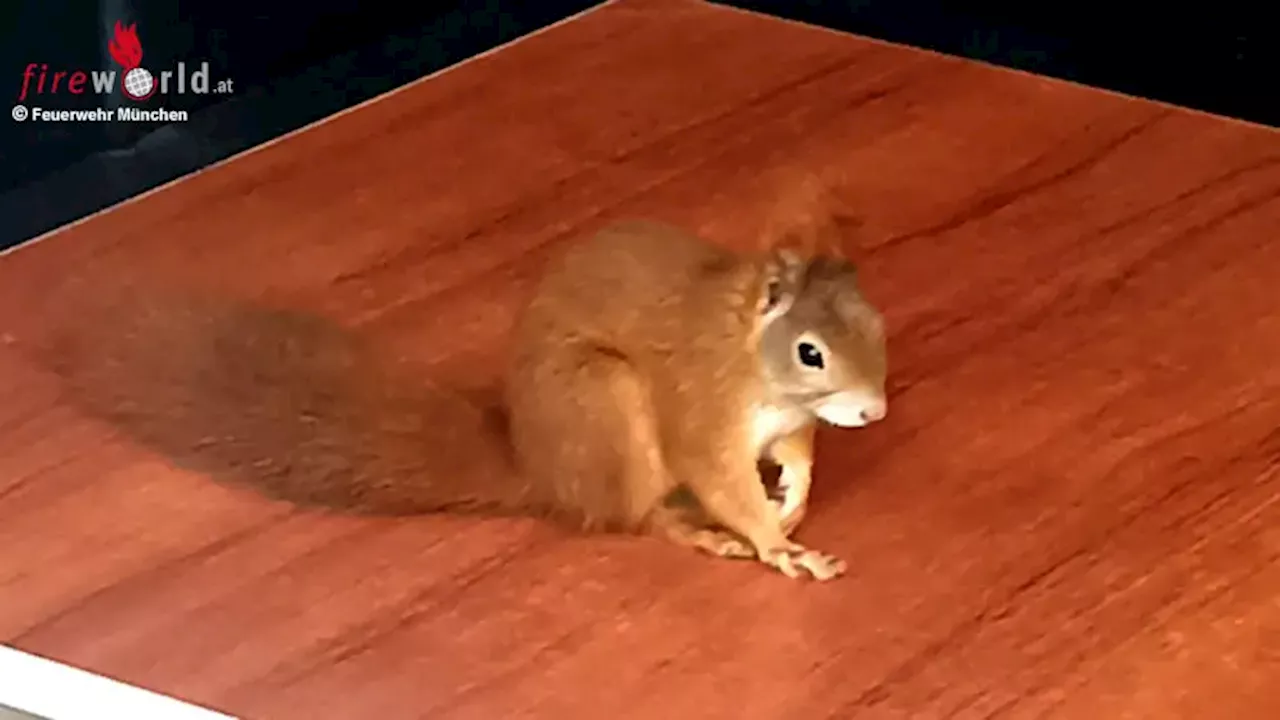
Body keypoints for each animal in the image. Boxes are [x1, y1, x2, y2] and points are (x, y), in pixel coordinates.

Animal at [32, 181, 890, 579]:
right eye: (810, 352)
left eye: (878, 327)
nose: (874, 412)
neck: (759, 370)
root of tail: (541, 471)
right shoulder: (703, 409)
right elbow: (721, 479)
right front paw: (776, 540)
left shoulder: (790, 423)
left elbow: (799, 453)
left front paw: (794, 495)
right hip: (606, 405)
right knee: (636, 516)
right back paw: (697, 532)